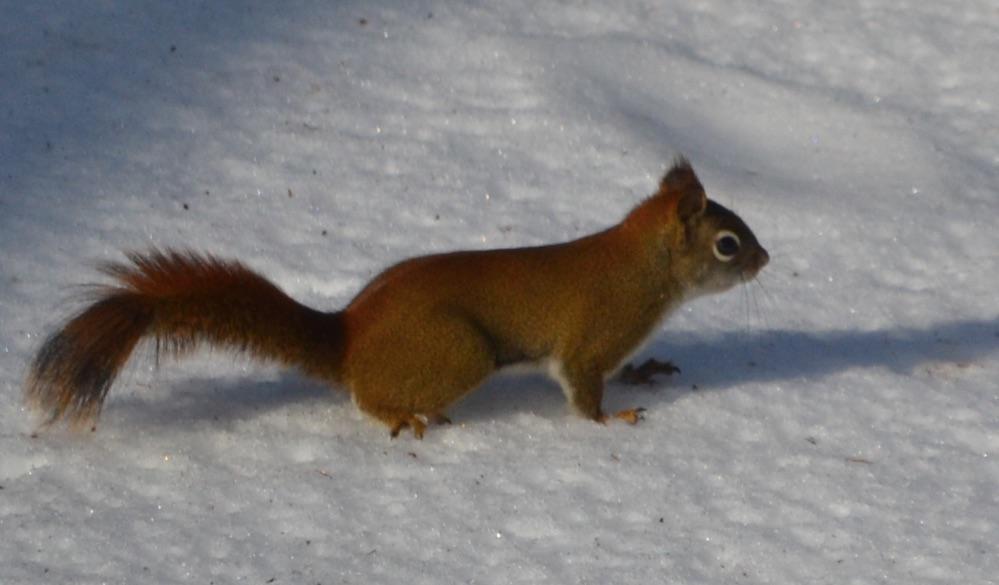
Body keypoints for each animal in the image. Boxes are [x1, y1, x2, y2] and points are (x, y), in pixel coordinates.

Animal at [24, 158, 768, 438]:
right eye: (728, 243)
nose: (766, 260)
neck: (642, 264)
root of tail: (349, 336)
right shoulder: (593, 336)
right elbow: (583, 390)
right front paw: (613, 418)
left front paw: (646, 371)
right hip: (461, 351)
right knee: (365, 396)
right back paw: (407, 416)